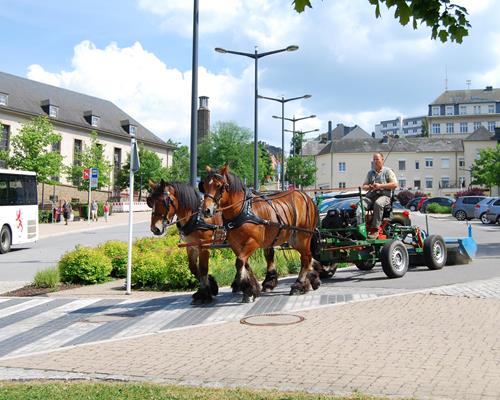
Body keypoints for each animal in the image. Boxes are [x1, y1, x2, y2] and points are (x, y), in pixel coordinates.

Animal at [199, 164, 320, 302]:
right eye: (204, 186)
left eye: (219, 185)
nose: (206, 210)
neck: (242, 210)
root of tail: (308, 198)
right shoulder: (235, 244)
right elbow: (245, 263)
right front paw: (251, 288)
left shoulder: (253, 242)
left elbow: (240, 261)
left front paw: (246, 288)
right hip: (294, 238)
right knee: (307, 257)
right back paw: (311, 280)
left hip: (303, 236)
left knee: (306, 258)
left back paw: (298, 285)